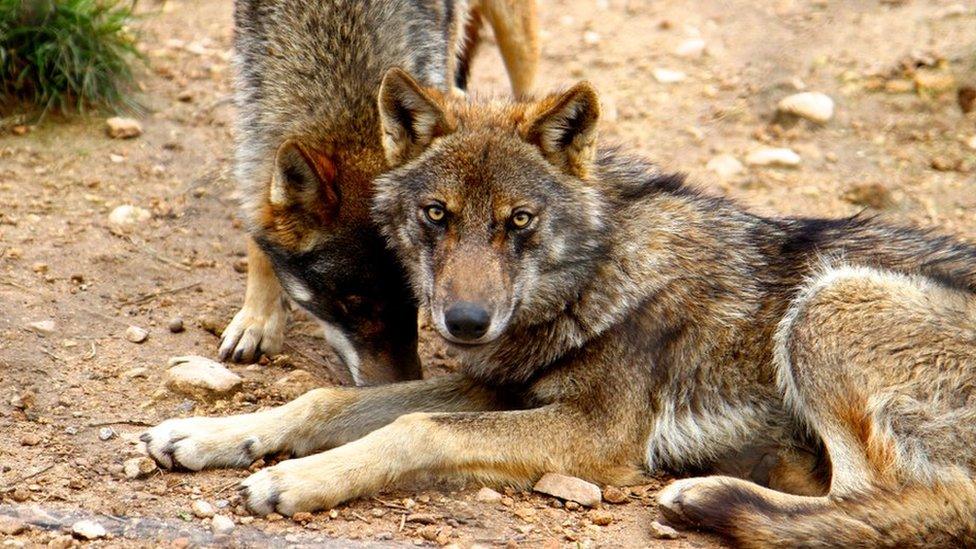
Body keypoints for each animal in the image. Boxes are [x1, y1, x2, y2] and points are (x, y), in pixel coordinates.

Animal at [143, 70, 976, 544]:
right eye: (437, 215)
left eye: (519, 220)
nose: (464, 323)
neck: (595, 272)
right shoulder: (498, 387)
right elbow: (324, 401)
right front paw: (205, 434)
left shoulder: (593, 431)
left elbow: (414, 427)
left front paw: (296, 480)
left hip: (829, 299)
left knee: (901, 501)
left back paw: (710, 496)